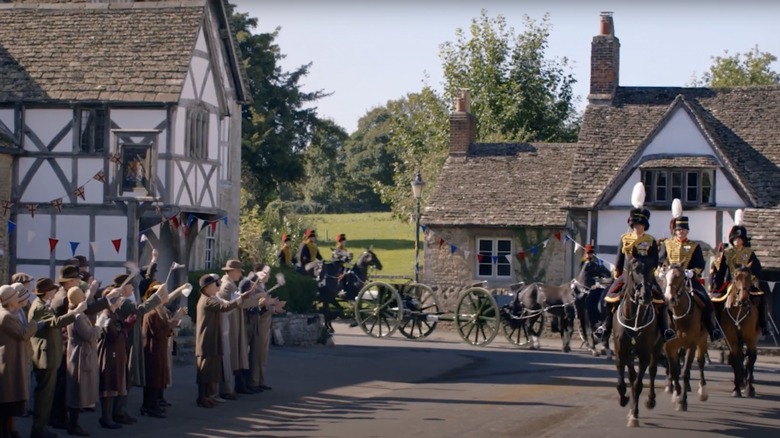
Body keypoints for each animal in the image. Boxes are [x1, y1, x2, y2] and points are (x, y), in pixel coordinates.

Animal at [612, 253, 660, 428]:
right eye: (634, 268)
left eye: (652, 268)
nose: (645, 296)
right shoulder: (621, 352)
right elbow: (622, 382)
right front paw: (624, 399)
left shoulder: (644, 353)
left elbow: (639, 384)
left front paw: (634, 414)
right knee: (632, 376)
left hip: (657, 348)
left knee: (652, 371)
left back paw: (650, 400)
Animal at [660, 264, 708, 410]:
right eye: (665, 276)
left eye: (679, 277)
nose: (669, 298)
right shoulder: (669, 345)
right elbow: (674, 369)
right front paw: (676, 393)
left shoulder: (691, 345)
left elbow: (685, 372)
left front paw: (682, 401)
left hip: (702, 340)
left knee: (700, 362)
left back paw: (703, 391)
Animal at [716, 266, 760, 398]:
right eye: (736, 278)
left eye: (750, 277)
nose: (744, 300)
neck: (739, 310)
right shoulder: (732, 339)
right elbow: (736, 358)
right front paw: (736, 388)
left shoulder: (751, 339)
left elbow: (751, 359)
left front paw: (750, 388)